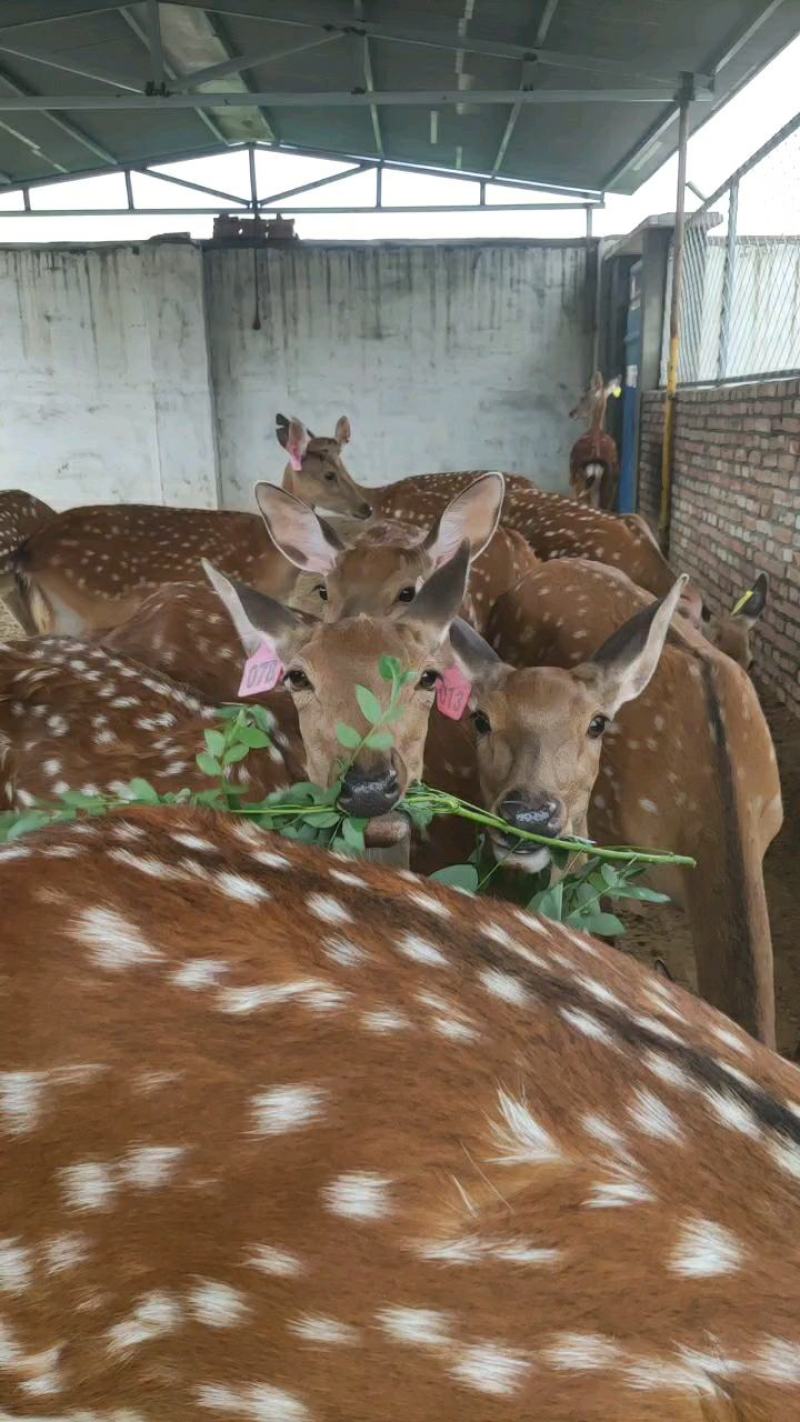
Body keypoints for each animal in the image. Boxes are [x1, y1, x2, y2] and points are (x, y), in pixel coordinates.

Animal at [568, 372, 622, 510]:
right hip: (611, 484)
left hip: (578, 478)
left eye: (582, 398)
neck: (596, 428)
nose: (572, 413)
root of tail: (595, 459)